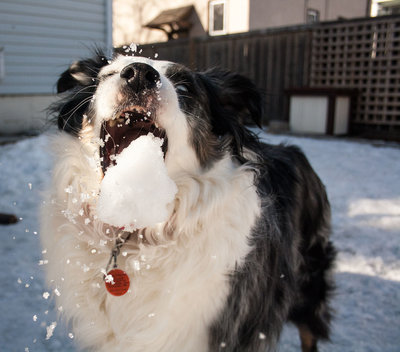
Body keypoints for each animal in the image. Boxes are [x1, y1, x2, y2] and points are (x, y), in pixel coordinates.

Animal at [39, 52, 334, 352]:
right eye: (108, 74)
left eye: (184, 88)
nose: (139, 74)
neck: (135, 237)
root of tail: (295, 151)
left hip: (309, 283)